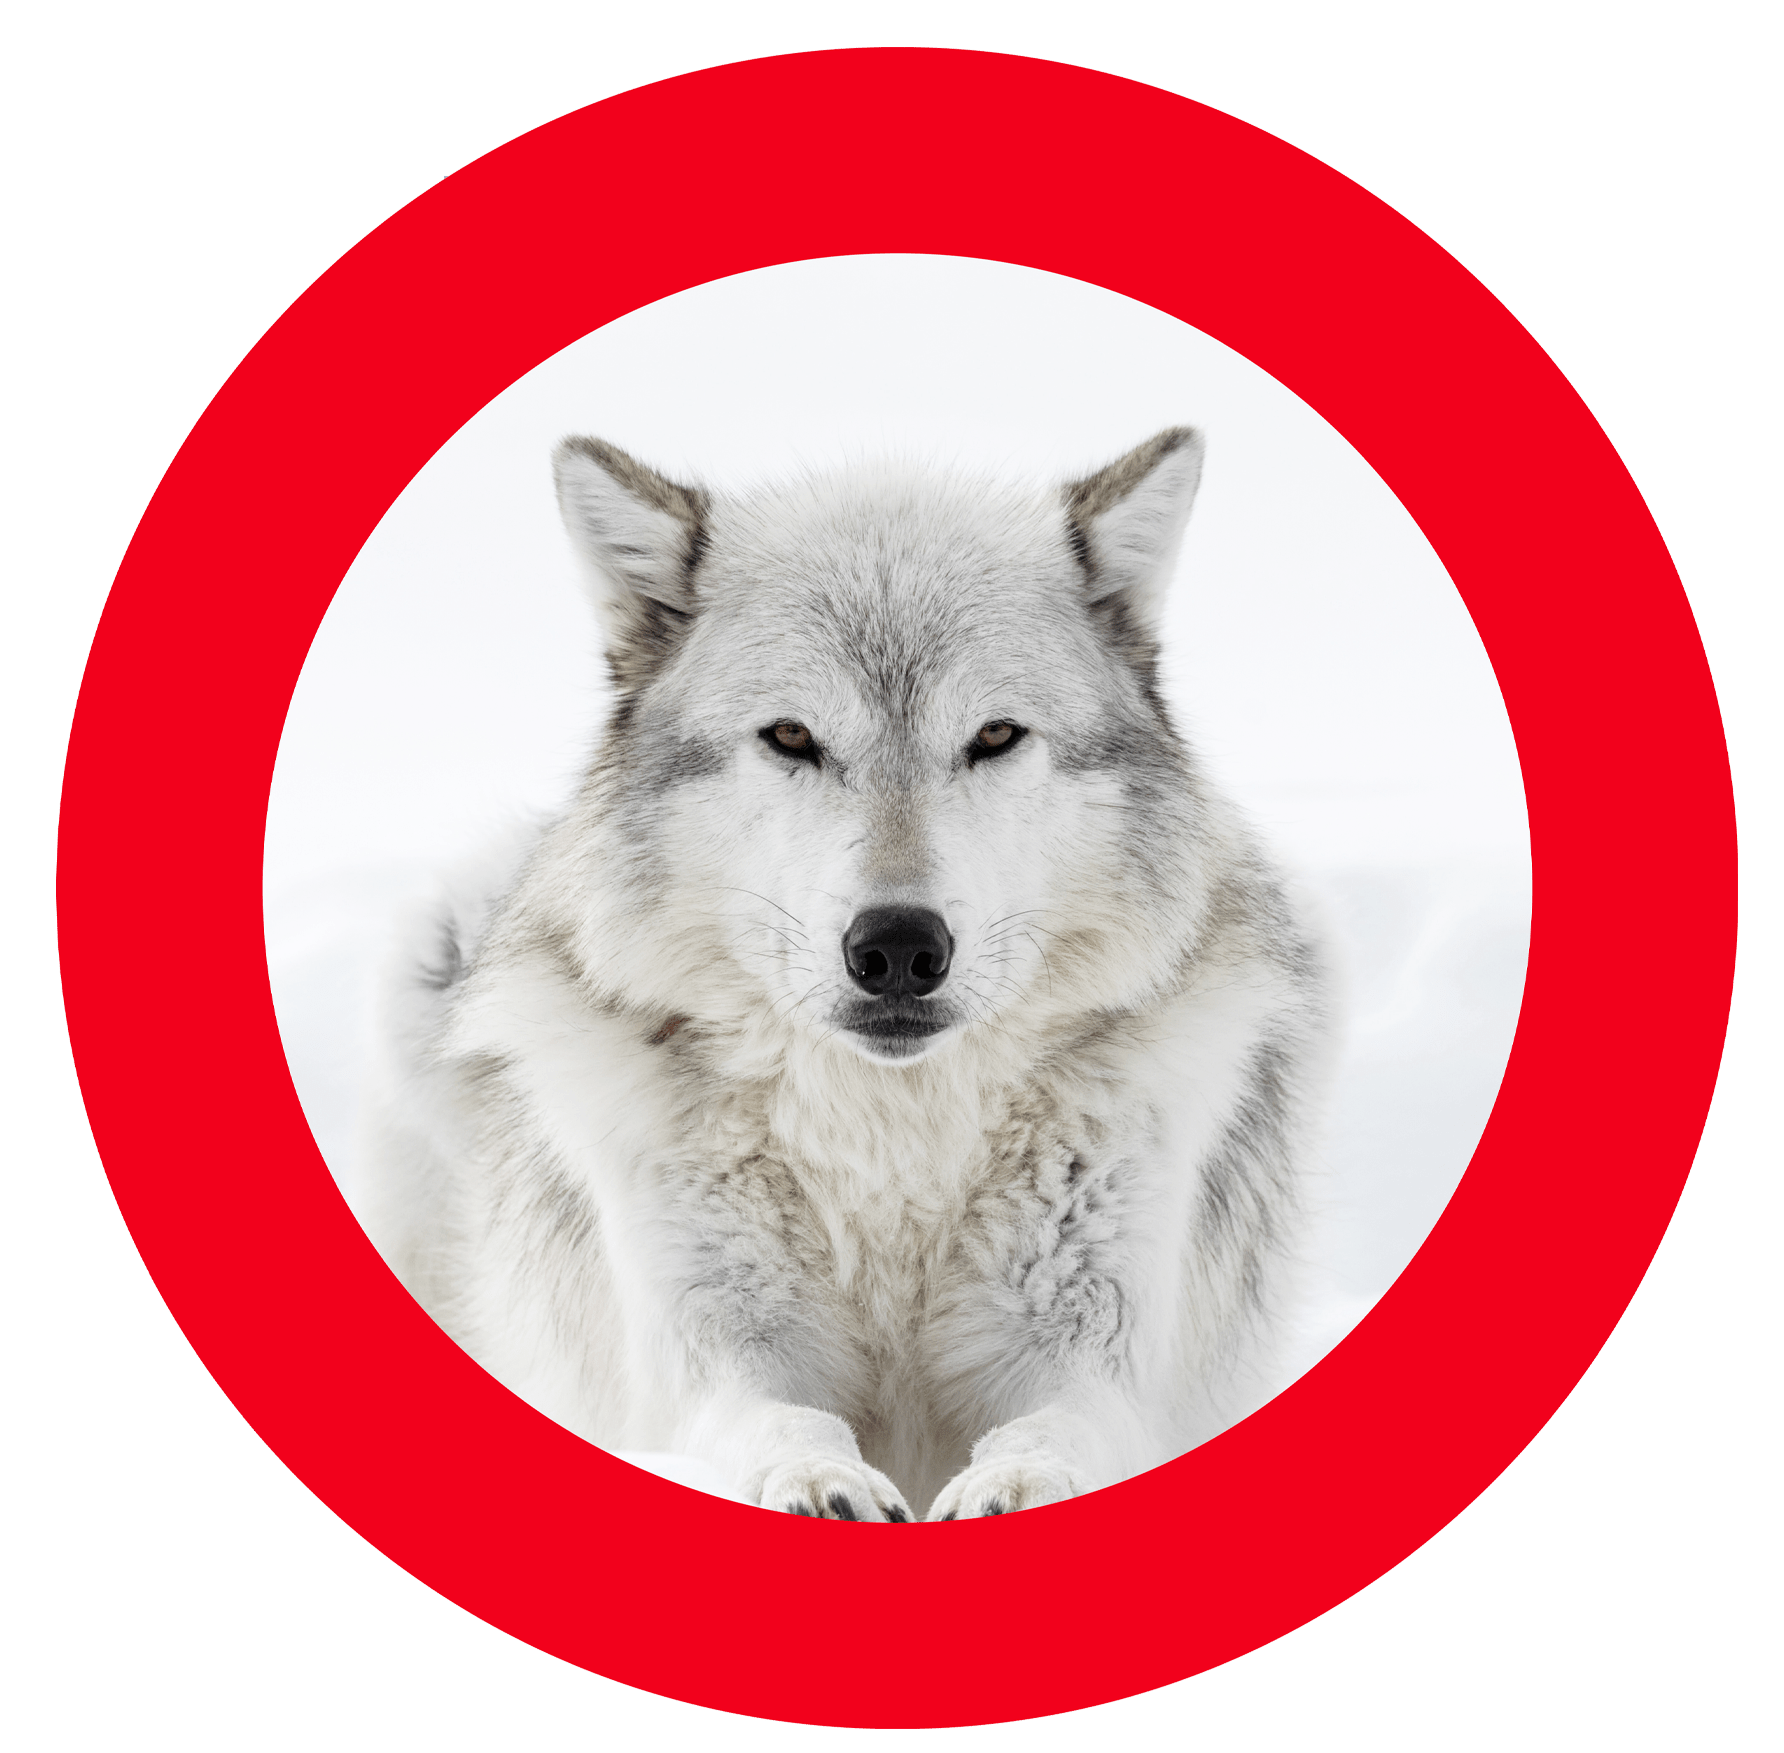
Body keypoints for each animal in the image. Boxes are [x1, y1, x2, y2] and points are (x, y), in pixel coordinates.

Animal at [360, 427, 1332, 1521]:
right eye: (792, 737)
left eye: (995, 736)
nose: (898, 947)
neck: (891, 1148)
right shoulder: (713, 1355)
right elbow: (780, 1420)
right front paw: (816, 1479)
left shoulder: (1094, 1359)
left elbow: (1059, 1429)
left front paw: (1015, 1486)